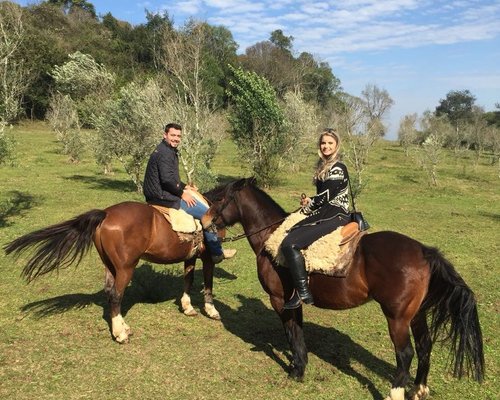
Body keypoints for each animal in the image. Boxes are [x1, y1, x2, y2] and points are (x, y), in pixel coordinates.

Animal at [3, 202, 223, 342]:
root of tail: (106, 214)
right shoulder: (208, 258)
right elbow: (208, 282)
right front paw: (211, 310)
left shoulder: (191, 257)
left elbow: (188, 280)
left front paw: (188, 307)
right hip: (126, 268)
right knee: (117, 295)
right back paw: (121, 334)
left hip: (110, 265)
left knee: (110, 293)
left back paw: (122, 327)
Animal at [203, 180, 484, 400]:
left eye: (219, 197)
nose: (204, 221)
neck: (272, 238)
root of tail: (424, 251)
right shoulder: (294, 301)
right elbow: (298, 333)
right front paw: (300, 364)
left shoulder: (279, 299)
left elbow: (291, 332)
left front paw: (296, 371)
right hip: (416, 315)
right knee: (425, 346)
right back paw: (418, 390)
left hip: (397, 317)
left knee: (405, 353)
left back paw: (394, 393)